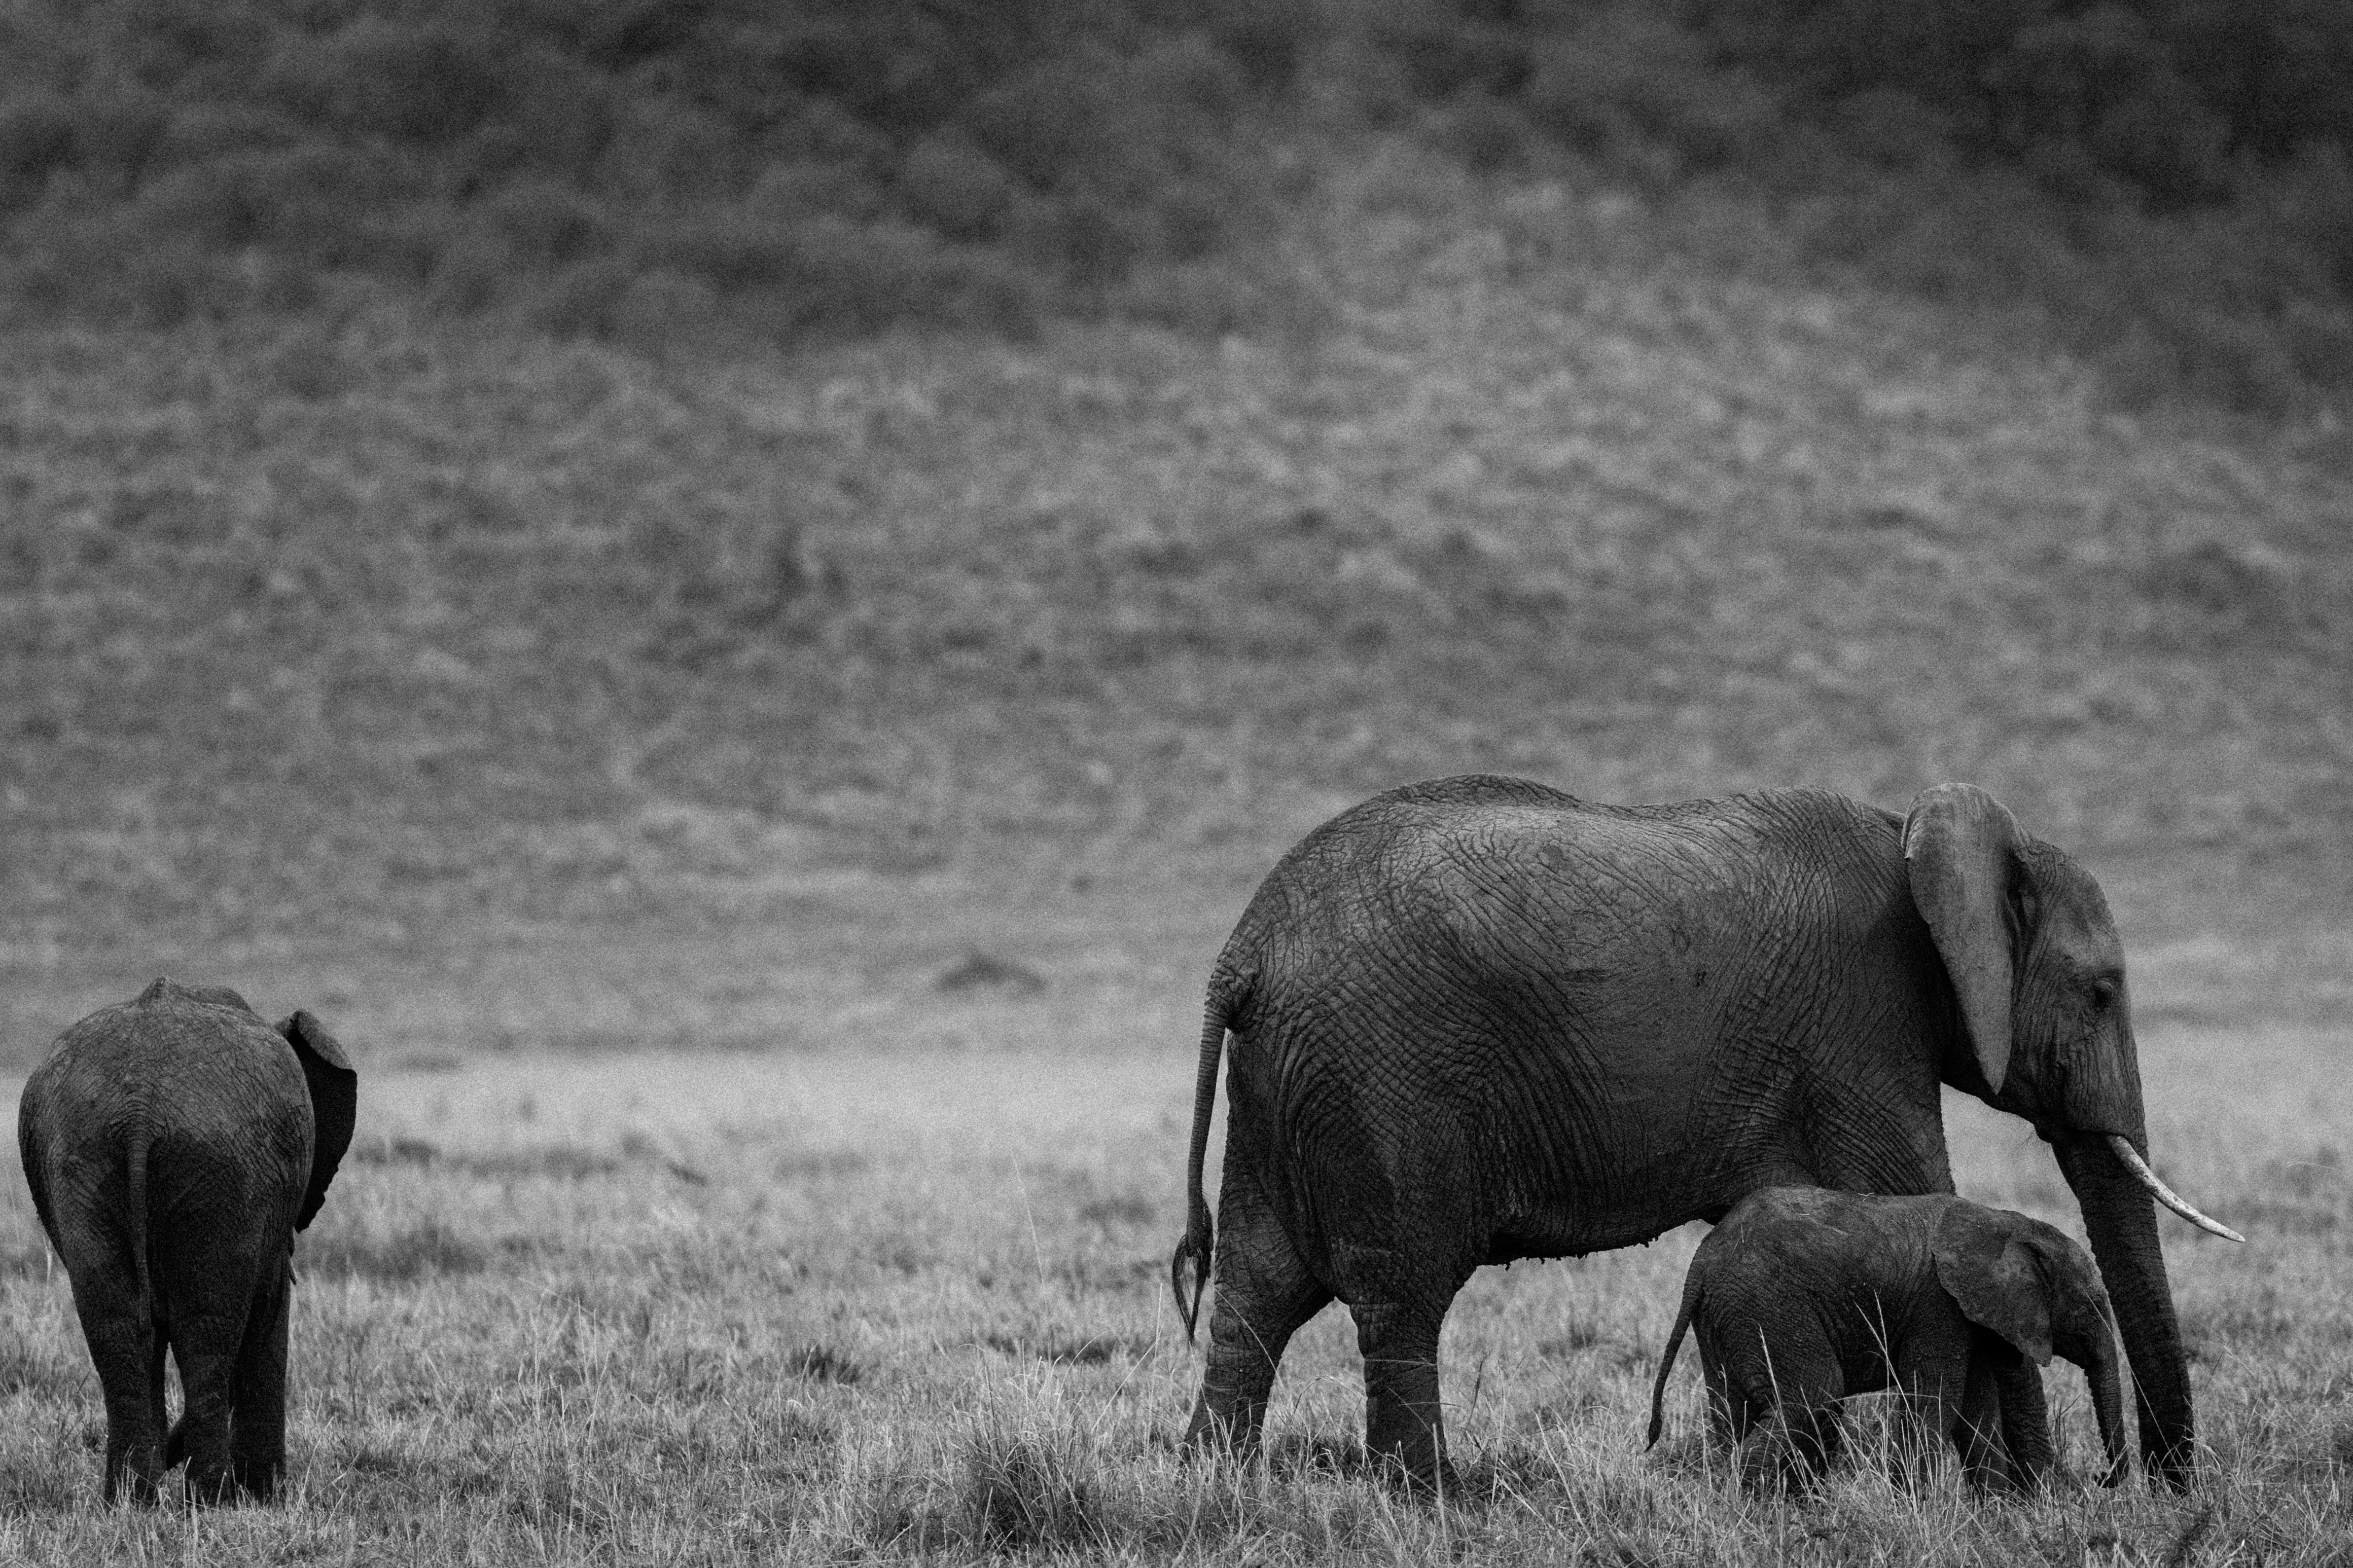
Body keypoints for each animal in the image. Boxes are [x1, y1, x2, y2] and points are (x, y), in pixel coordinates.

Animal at [16, 977, 357, 1503]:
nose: (170, 1454)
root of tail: (140, 1111)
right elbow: (268, 1316)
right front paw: (265, 1498)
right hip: (222, 1171)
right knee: (208, 1333)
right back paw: (210, 1501)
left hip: (81, 1161)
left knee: (116, 1328)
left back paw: (131, 1501)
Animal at [1643, 1186, 2127, 1491]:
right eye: (2093, 1303)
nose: (2101, 1478)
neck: (2006, 1223)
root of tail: (1702, 1260)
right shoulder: (1939, 1306)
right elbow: (1935, 1399)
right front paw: (1915, 1507)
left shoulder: (1971, 1316)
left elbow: (1977, 1408)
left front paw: (1993, 1511)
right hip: (1768, 1303)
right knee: (1816, 1391)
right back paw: (1754, 1503)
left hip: (1725, 1315)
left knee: (1733, 1408)